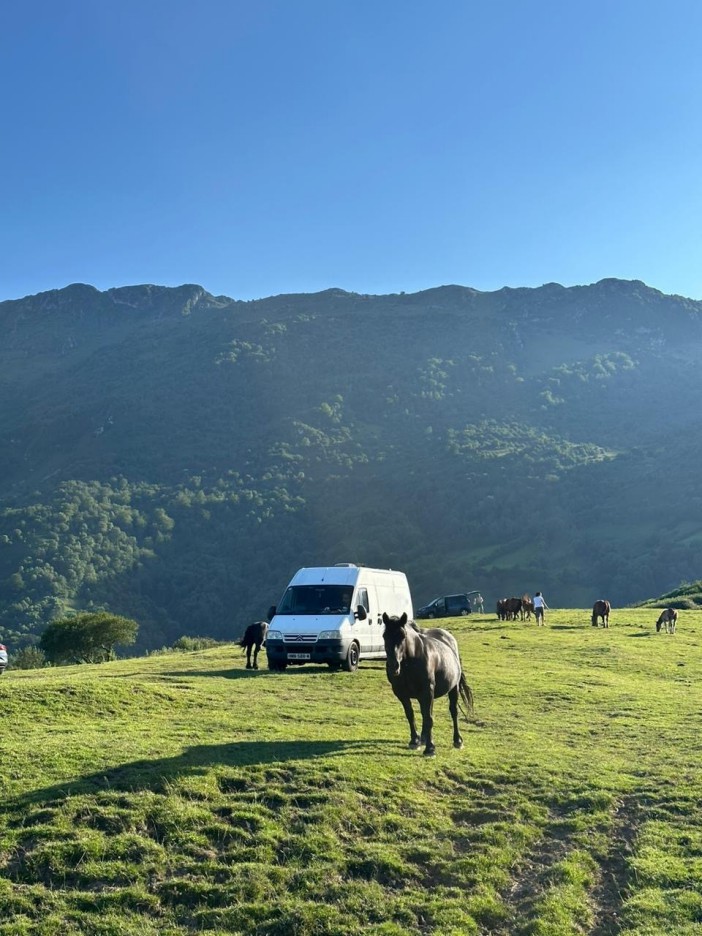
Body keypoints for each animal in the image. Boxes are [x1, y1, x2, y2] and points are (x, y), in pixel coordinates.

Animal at [382, 612, 476, 756]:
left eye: (403, 636)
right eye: (384, 636)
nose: (393, 666)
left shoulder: (427, 692)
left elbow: (428, 719)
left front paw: (430, 749)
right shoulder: (402, 694)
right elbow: (411, 715)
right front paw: (414, 741)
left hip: (452, 688)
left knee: (453, 712)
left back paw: (457, 741)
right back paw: (423, 738)